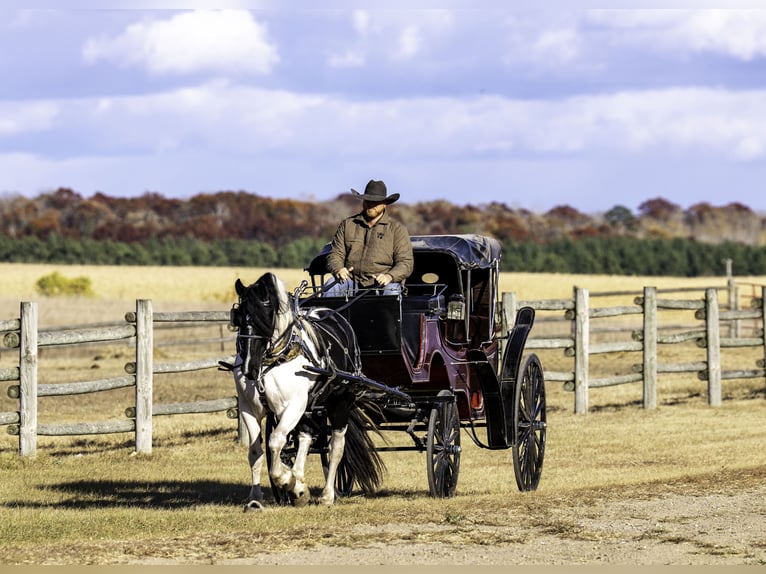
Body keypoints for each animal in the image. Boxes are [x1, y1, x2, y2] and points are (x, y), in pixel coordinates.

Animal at [226, 274, 384, 512]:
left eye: (264, 315)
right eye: (239, 316)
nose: (248, 368)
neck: (273, 360)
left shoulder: (294, 405)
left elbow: (275, 441)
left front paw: (284, 478)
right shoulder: (248, 408)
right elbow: (256, 452)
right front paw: (257, 498)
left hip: (340, 401)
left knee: (335, 446)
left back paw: (327, 494)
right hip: (310, 407)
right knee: (306, 436)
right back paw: (299, 484)